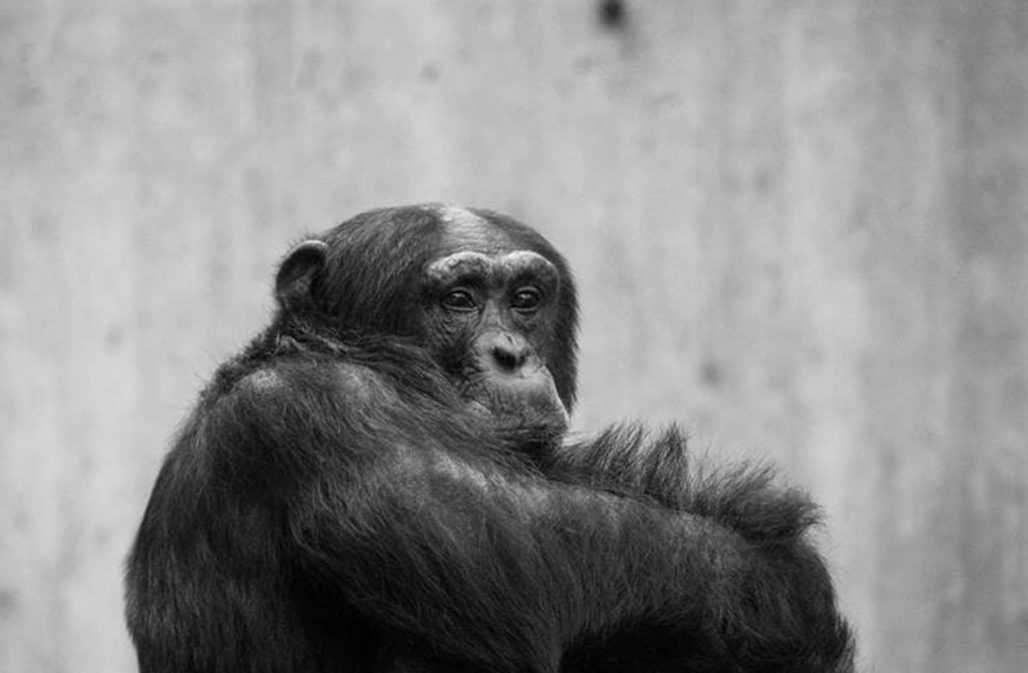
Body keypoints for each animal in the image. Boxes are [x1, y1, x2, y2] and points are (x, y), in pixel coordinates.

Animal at [124, 205, 855, 673]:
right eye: (461, 299)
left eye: (526, 298)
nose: (510, 352)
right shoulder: (325, 414)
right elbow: (520, 567)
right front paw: (782, 588)